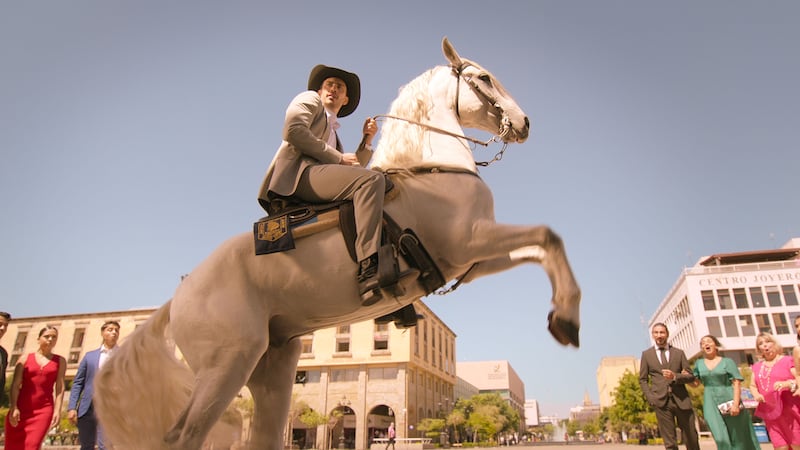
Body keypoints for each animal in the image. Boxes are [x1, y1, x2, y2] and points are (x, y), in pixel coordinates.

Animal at [94, 37, 580, 448]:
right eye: (483, 77)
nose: (524, 123)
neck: (431, 167)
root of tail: (177, 297)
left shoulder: (473, 257)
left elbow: (544, 246)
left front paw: (561, 318)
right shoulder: (470, 241)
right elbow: (547, 235)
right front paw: (568, 321)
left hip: (271, 367)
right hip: (226, 365)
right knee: (185, 436)